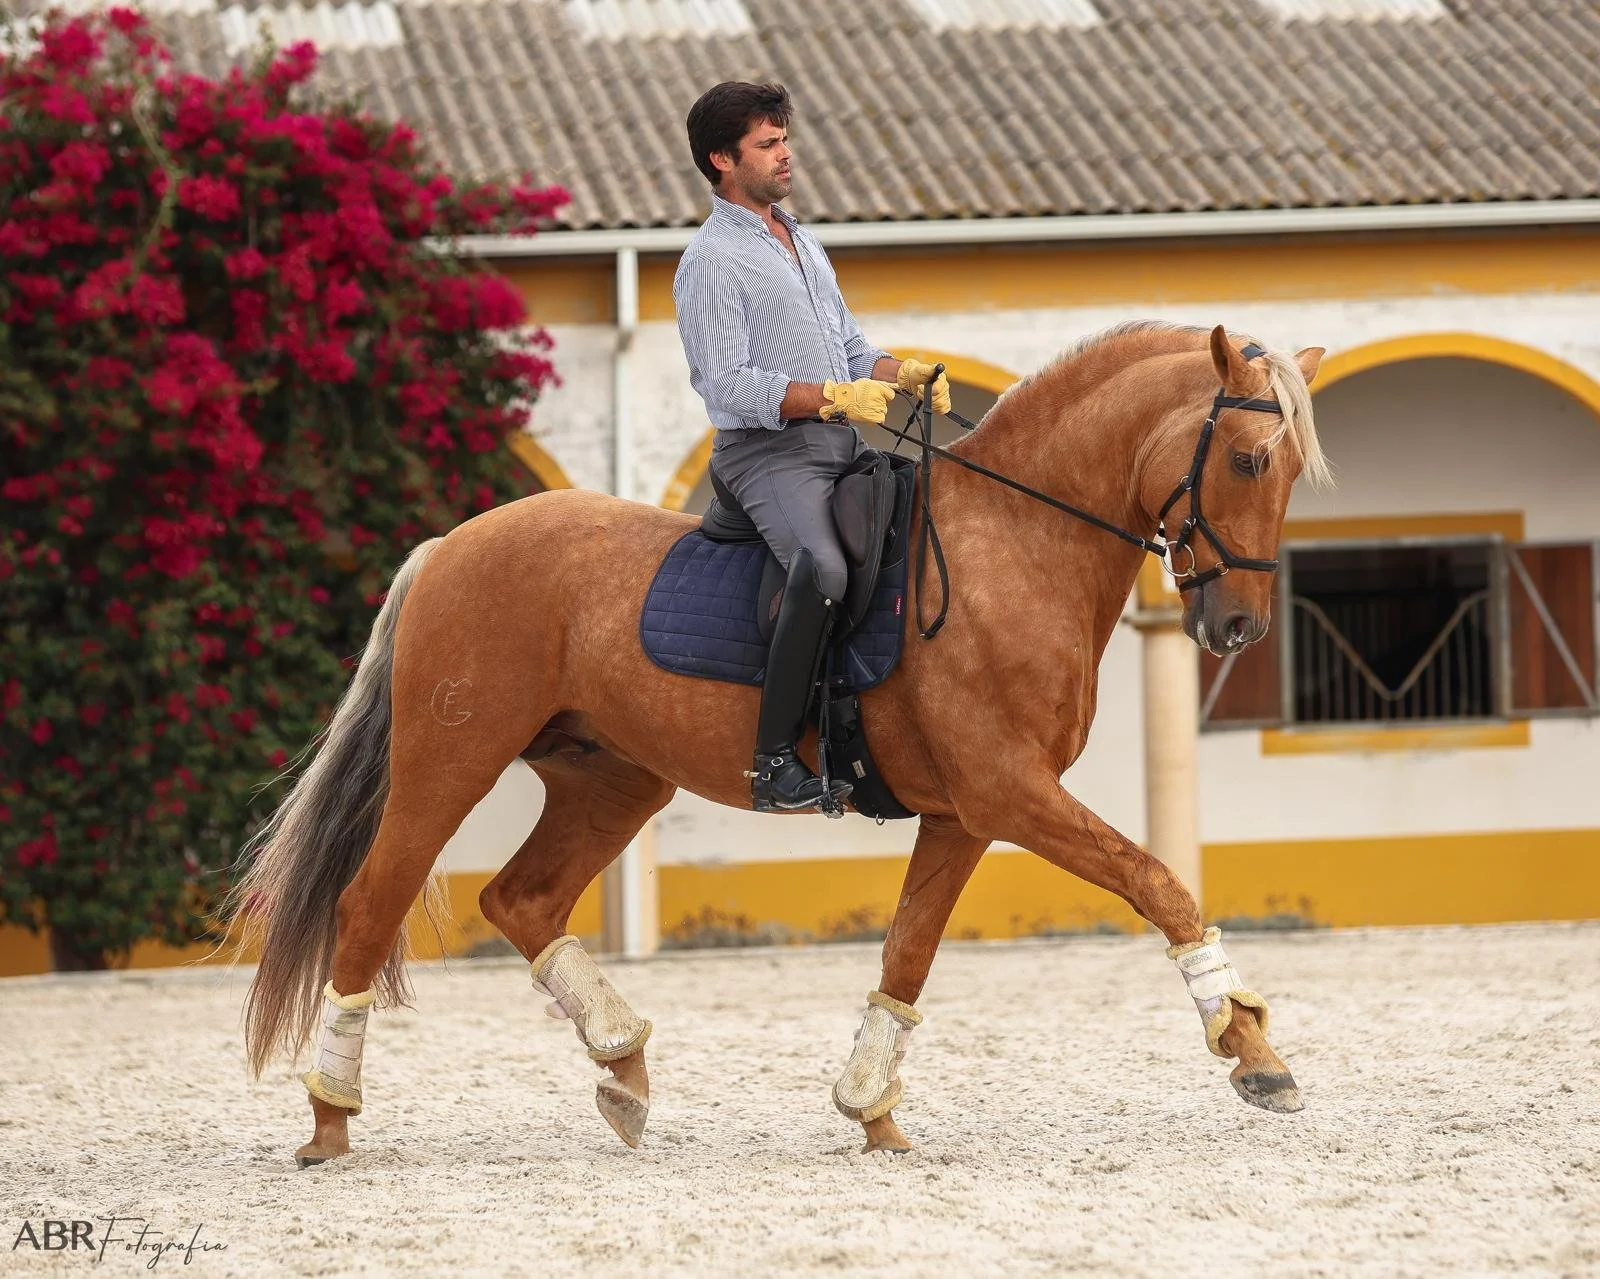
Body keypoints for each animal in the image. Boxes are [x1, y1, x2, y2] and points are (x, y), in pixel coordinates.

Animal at [232, 321, 1330, 1166]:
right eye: (1244, 460)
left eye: (1288, 478)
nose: (1238, 628)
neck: (1013, 546)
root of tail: (451, 545)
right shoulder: (1009, 791)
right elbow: (1159, 881)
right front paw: (1250, 1048)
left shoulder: (965, 812)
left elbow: (907, 954)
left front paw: (871, 1110)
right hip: (449, 762)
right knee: (369, 904)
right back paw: (330, 1117)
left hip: (612, 780)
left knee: (523, 898)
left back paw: (623, 1067)